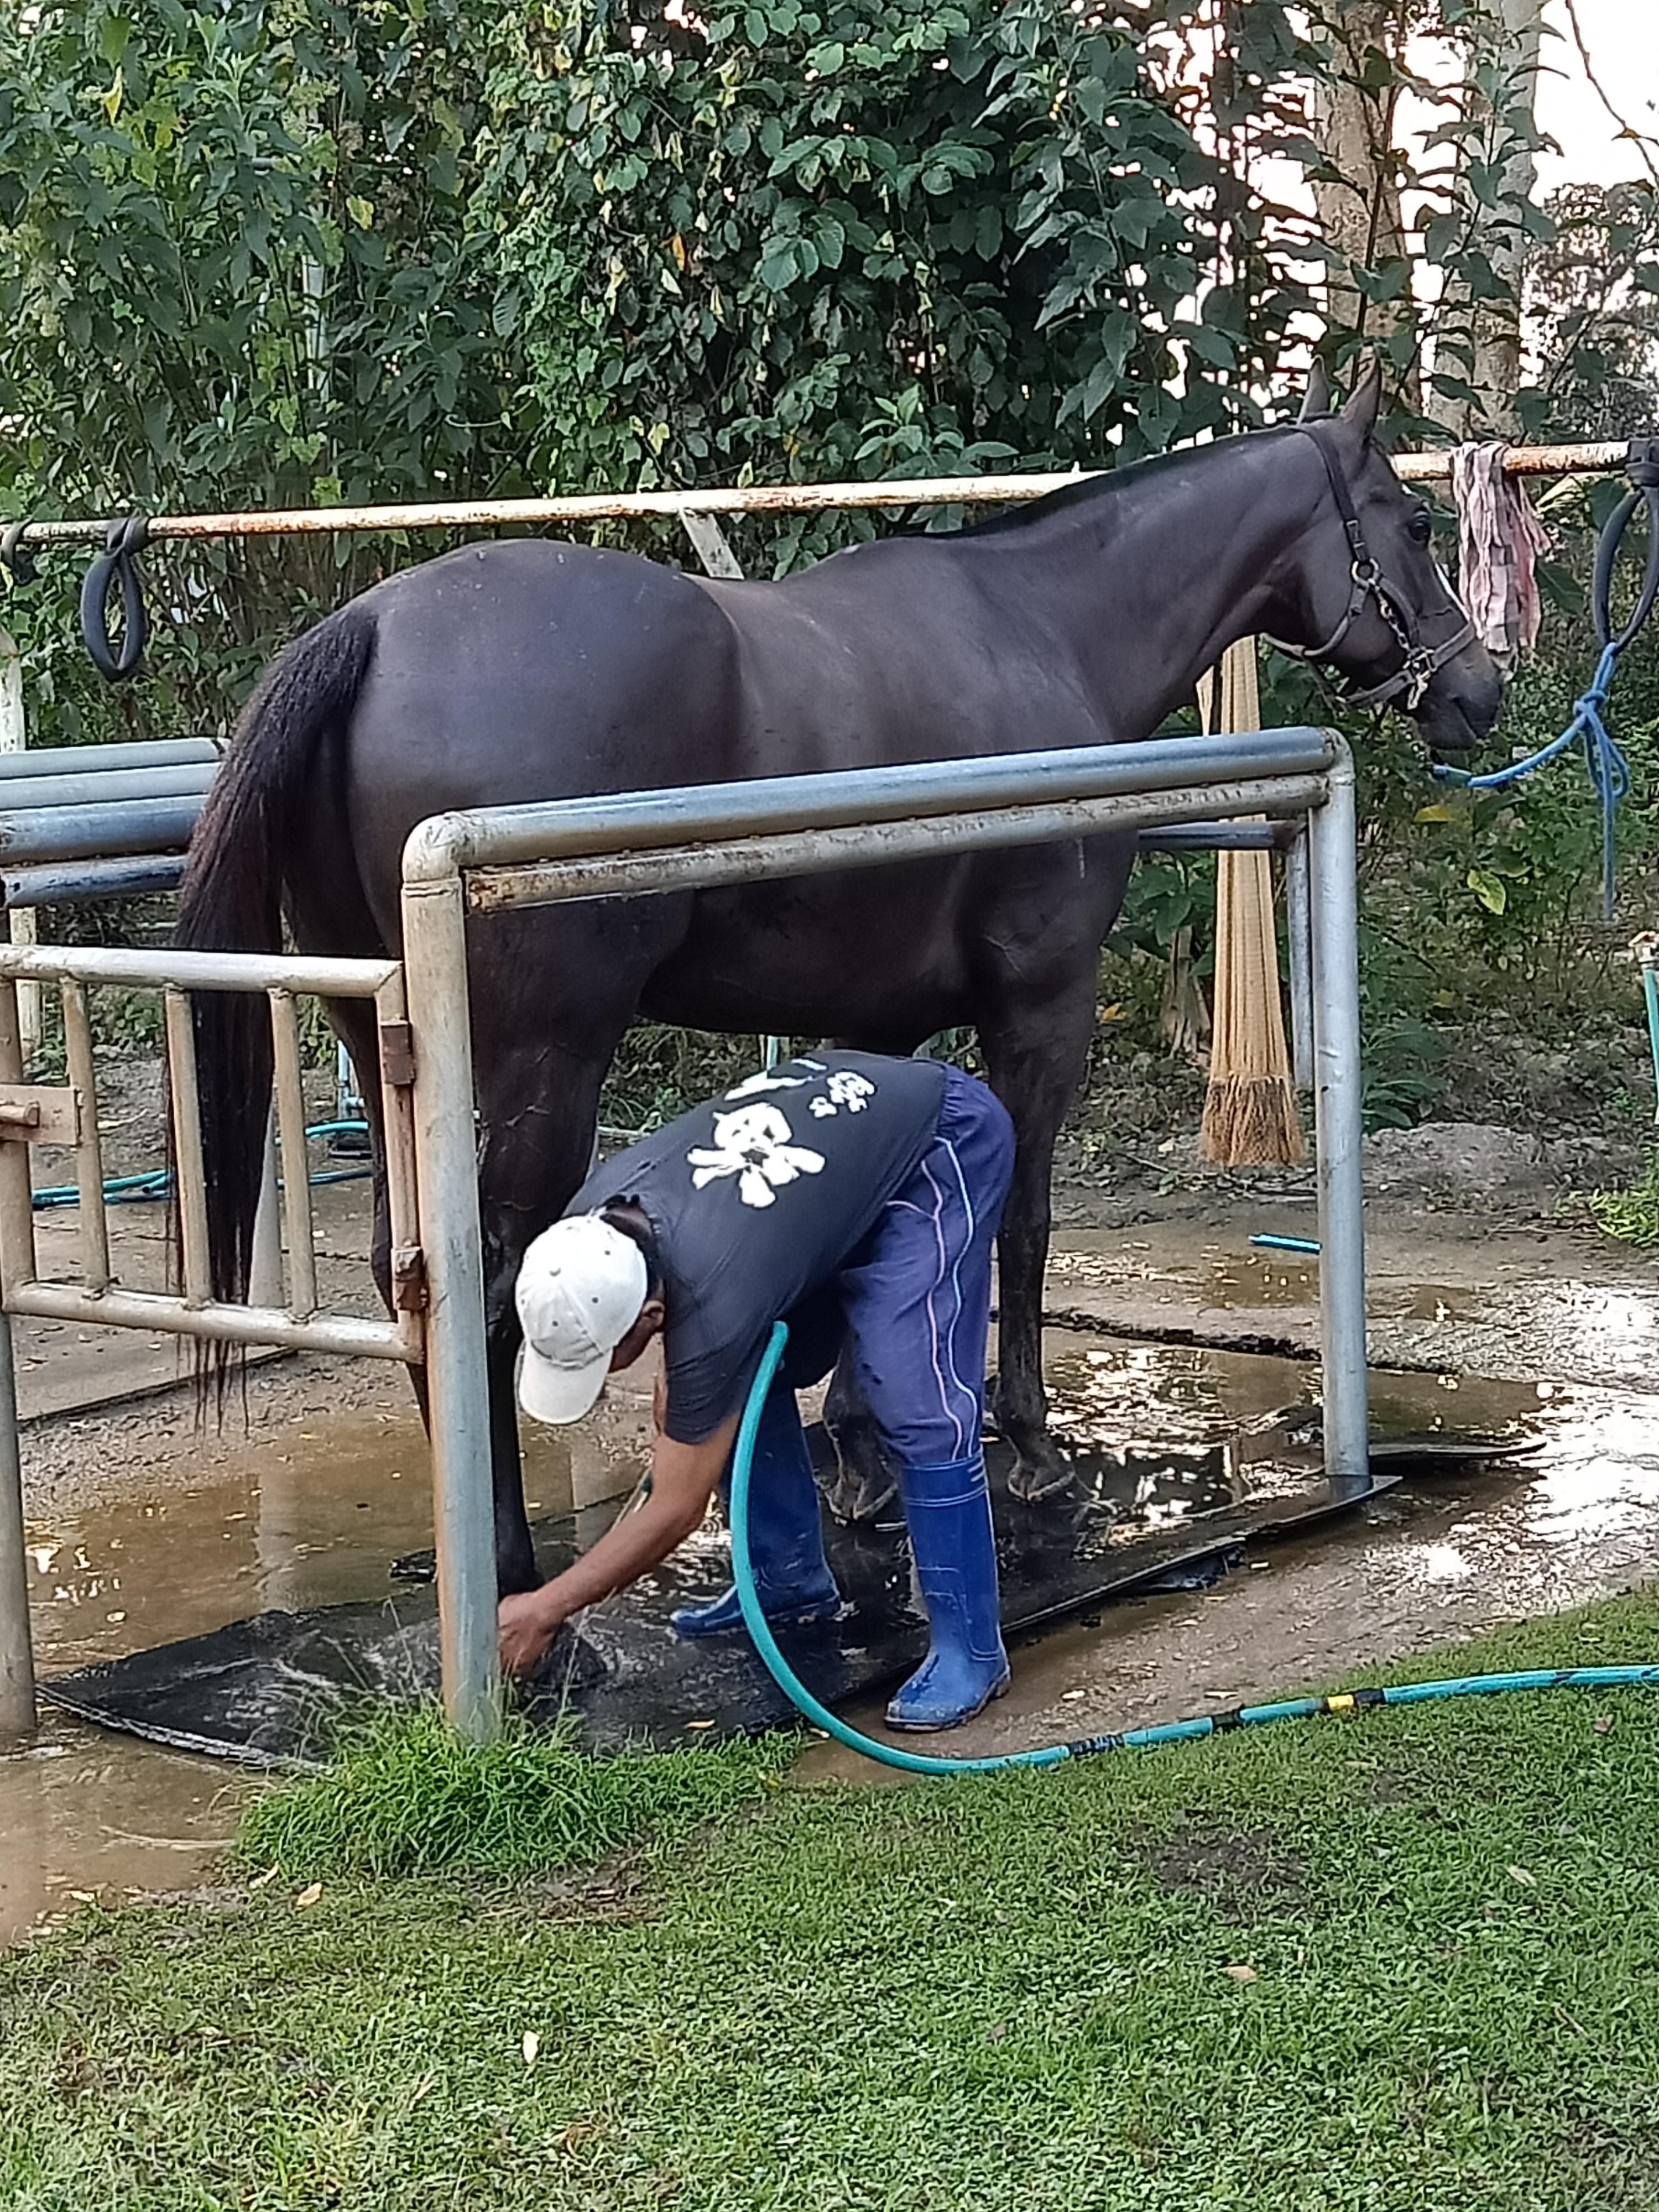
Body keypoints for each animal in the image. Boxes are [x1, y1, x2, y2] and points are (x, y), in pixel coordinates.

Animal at [176, 362, 1502, 1594]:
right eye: (1411, 523)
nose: (1479, 691)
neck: (1043, 632)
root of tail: (375, 629)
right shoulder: (1041, 1010)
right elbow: (1024, 1227)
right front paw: (1029, 1450)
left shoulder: (885, 1026)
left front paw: (864, 1469)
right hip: (542, 1063)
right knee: (493, 1285)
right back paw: (516, 1582)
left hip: (384, 1051)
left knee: (414, 1285)